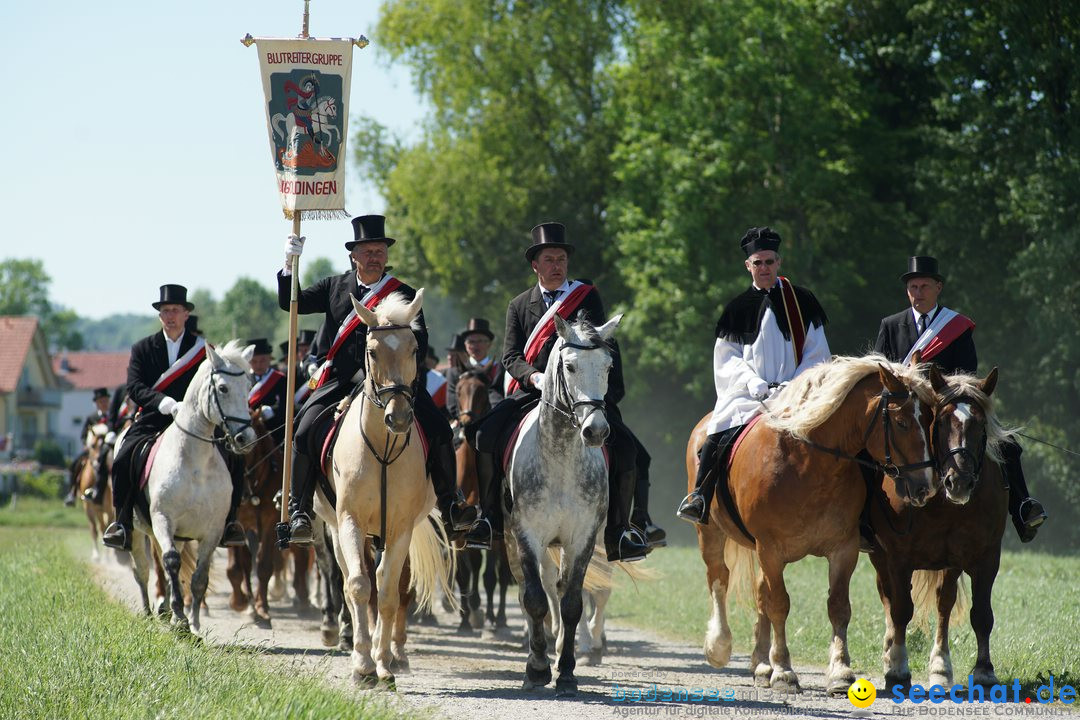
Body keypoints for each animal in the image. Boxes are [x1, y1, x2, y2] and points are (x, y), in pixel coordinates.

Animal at [127, 341, 257, 634]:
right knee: (143, 569)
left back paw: (163, 611)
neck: (194, 462)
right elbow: (171, 563)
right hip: (137, 532)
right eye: (223, 388)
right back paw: (149, 612)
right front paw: (180, 619)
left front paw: (195, 625)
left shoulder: (212, 530)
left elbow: (199, 577)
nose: (246, 438)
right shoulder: (164, 519)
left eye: (249, 386)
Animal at [315, 289, 460, 690]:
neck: (382, 447)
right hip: (340, 529)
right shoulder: (349, 521)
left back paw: (394, 655)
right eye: (372, 350)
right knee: (353, 582)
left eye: (413, 349)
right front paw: (362, 666)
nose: (398, 417)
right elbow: (360, 586)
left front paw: (382, 666)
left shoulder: (400, 527)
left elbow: (389, 591)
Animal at [501, 315, 622, 699]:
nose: (596, 431)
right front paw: (537, 669)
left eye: (608, 366)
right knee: (529, 593)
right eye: (569, 366)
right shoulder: (527, 536)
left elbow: (571, 602)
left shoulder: (582, 539)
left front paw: (566, 673)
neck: (561, 462)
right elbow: (535, 599)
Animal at [691, 358, 937, 695]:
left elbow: (838, 606)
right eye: (900, 423)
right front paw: (784, 672)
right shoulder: (771, 549)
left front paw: (840, 671)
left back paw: (761, 665)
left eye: (929, 420)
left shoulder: (843, 548)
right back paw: (720, 646)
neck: (809, 462)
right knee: (719, 578)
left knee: (759, 593)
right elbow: (779, 604)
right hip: (712, 534)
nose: (925, 487)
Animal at [868, 367, 1010, 690]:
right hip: (879, 557)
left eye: (980, 423)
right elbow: (900, 609)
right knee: (888, 597)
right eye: (941, 421)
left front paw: (980, 670)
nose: (958, 482)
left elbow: (978, 613)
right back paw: (890, 650)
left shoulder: (983, 557)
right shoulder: (898, 558)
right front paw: (898, 668)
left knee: (942, 602)